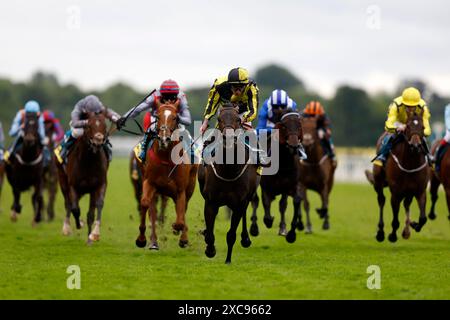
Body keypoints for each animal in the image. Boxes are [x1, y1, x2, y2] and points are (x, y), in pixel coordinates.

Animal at [57, 110, 110, 242]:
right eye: (89, 126)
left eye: (104, 126)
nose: (98, 140)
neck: (88, 161)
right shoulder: (73, 185)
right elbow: (75, 208)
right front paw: (79, 224)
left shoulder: (99, 184)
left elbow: (98, 206)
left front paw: (94, 234)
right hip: (62, 180)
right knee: (68, 203)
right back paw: (66, 227)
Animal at [134, 102, 197, 250]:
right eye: (157, 116)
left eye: (175, 117)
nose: (164, 139)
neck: (166, 158)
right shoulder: (149, 182)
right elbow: (145, 204)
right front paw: (141, 239)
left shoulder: (180, 190)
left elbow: (180, 218)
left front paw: (178, 230)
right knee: (152, 211)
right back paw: (154, 243)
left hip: (190, 187)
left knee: (183, 209)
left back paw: (182, 237)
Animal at [198, 104, 258, 264]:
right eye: (219, 119)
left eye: (238, 119)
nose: (229, 137)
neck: (228, 170)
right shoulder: (211, 202)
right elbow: (210, 232)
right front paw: (210, 249)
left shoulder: (239, 203)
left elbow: (231, 234)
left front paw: (228, 259)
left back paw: (246, 239)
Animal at [248, 107, 304, 242]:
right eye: (284, 126)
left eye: (299, 125)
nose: (294, 146)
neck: (282, 164)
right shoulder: (266, 187)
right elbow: (265, 204)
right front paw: (268, 221)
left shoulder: (289, 186)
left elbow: (290, 203)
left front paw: (289, 232)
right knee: (255, 200)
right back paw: (254, 228)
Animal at [368, 107, 428, 242]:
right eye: (408, 127)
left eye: (422, 127)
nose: (415, 146)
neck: (410, 163)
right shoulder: (396, 192)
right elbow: (395, 219)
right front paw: (392, 236)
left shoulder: (420, 190)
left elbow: (423, 218)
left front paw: (414, 224)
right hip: (378, 182)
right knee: (381, 200)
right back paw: (380, 232)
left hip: (409, 192)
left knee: (406, 204)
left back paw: (406, 231)